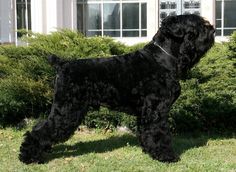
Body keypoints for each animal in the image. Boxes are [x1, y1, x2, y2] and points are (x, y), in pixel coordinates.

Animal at [19, 14, 215, 163]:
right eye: (197, 25)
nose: (213, 30)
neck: (162, 59)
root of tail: (62, 64)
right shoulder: (156, 110)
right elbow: (159, 133)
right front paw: (166, 156)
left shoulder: (145, 113)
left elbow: (146, 133)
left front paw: (148, 151)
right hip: (67, 110)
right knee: (41, 130)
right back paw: (29, 157)